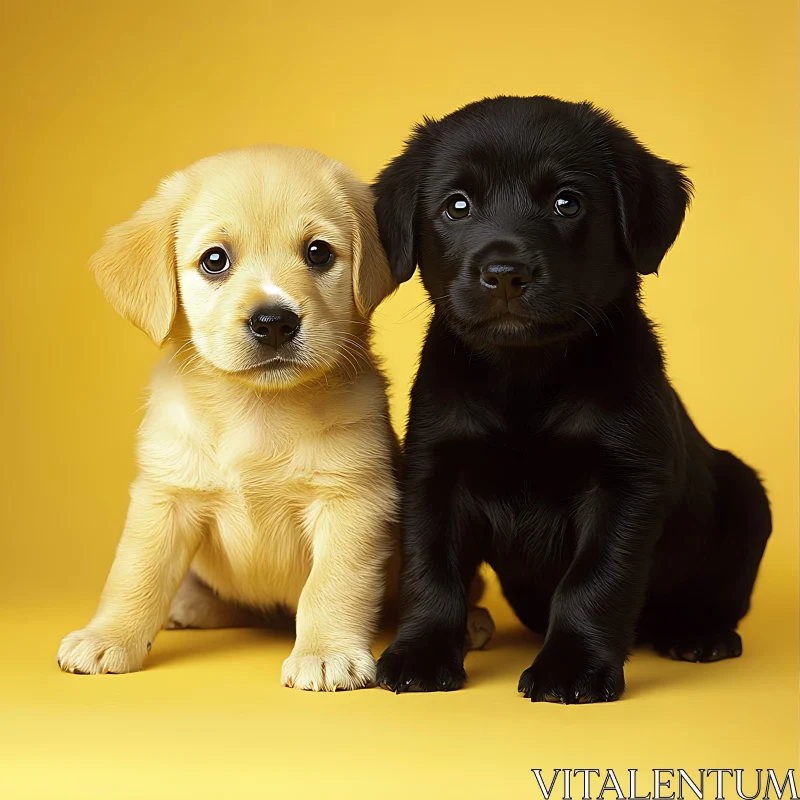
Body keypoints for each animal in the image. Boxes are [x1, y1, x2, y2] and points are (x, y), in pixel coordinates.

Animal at [57, 147, 400, 692]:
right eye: (214, 260)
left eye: (319, 253)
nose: (274, 322)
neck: (256, 410)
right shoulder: (165, 496)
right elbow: (134, 574)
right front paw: (106, 636)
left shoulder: (352, 499)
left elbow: (332, 584)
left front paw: (326, 652)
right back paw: (192, 604)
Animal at [372, 97, 772, 704]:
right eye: (456, 206)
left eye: (567, 202)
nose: (505, 273)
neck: (525, 378)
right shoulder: (433, 475)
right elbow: (430, 572)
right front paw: (421, 653)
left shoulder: (626, 482)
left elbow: (595, 579)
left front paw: (572, 666)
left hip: (748, 498)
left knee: (719, 597)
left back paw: (699, 632)